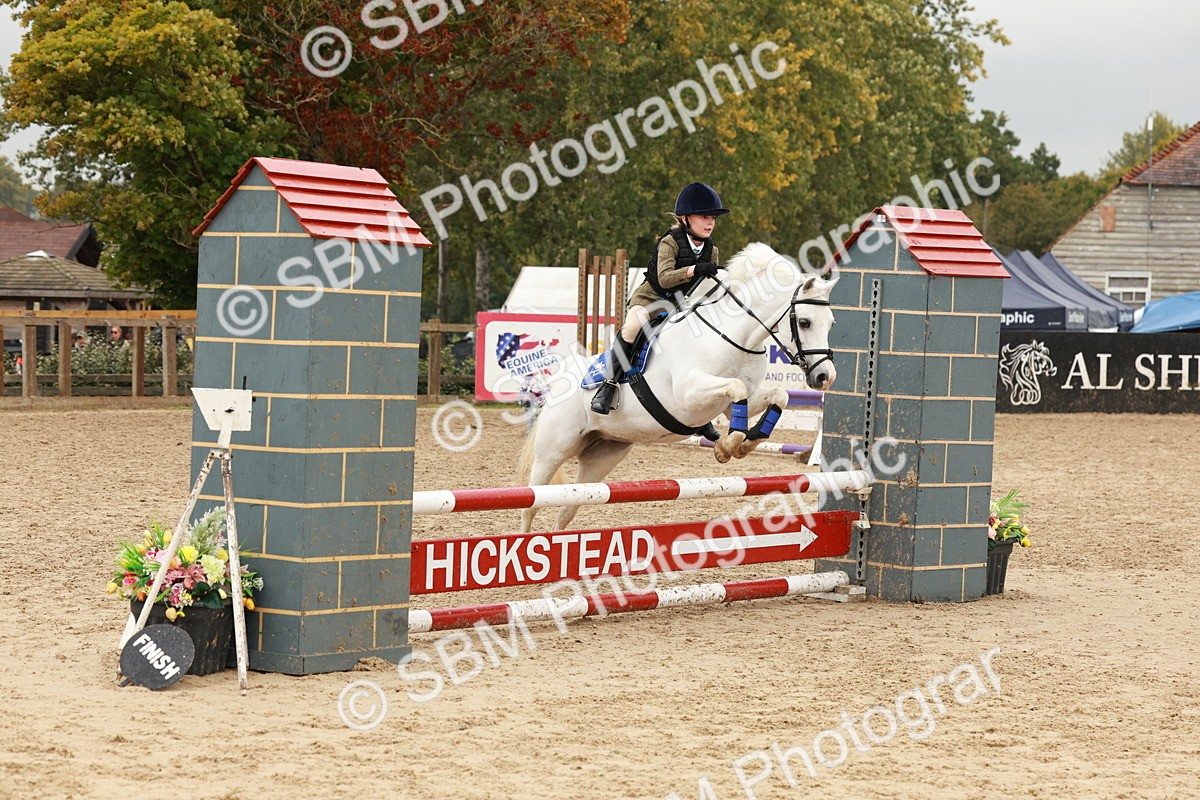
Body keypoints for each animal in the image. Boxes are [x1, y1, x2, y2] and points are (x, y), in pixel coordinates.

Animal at [516, 242, 837, 534]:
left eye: (831, 323)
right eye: (805, 322)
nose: (825, 377)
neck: (734, 336)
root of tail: (561, 380)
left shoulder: (731, 401)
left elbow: (777, 395)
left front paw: (748, 441)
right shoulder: (688, 396)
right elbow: (736, 388)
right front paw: (727, 446)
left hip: (604, 453)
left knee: (568, 506)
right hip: (553, 451)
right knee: (532, 503)